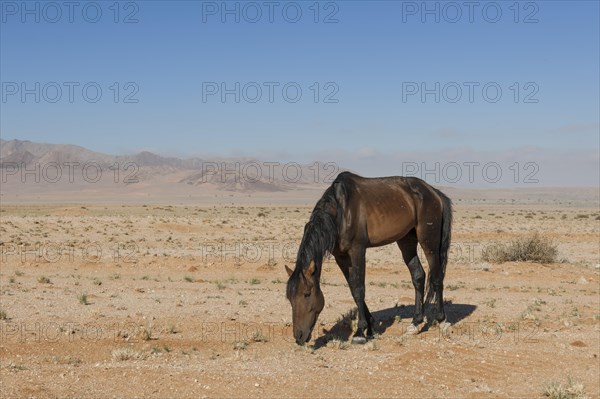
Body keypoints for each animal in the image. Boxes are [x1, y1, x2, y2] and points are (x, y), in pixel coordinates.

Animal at [284, 172, 450, 346]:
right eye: (289, 298)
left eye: (306, 294)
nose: (299, 336)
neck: (340, 212)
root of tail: (434, 192)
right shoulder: (341, 256)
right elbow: (352, 288)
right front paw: (370, 328)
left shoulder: (358, 250)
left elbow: (359, 289)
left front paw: (359, 332)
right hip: (407, 241)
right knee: (418, 276)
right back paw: (415, 323)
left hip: (429, 241)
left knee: (437, 277)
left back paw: (442, 321)